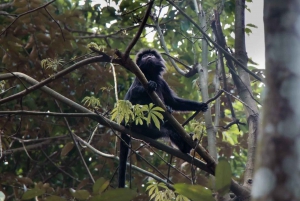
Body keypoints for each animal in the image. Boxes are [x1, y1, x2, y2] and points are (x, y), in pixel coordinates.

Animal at [118, 49, 209, 188]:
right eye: (145, 56)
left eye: (151, 55)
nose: (148, 56)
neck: (150, 74)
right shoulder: (138, 79)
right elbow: (132, 96)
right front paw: (150, 85)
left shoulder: (162, 82)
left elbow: (174, 101)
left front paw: (200, 105)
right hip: (137, 122)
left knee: (170, 128)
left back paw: (186, 146)